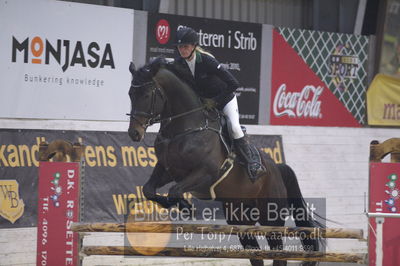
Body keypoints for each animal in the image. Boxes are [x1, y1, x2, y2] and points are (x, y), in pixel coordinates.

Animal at [128, 59, 324, 266]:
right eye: (131, 94)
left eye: (146, 95)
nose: (134, 133)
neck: (184, 129)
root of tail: (277, 168)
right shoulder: (168, 169)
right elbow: (148, 190)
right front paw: (172, 204)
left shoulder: (205, 173)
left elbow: (175, 190)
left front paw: (186, 207)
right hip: (240, 218)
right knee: (255, 254)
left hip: (270, 217)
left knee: (278, 253)